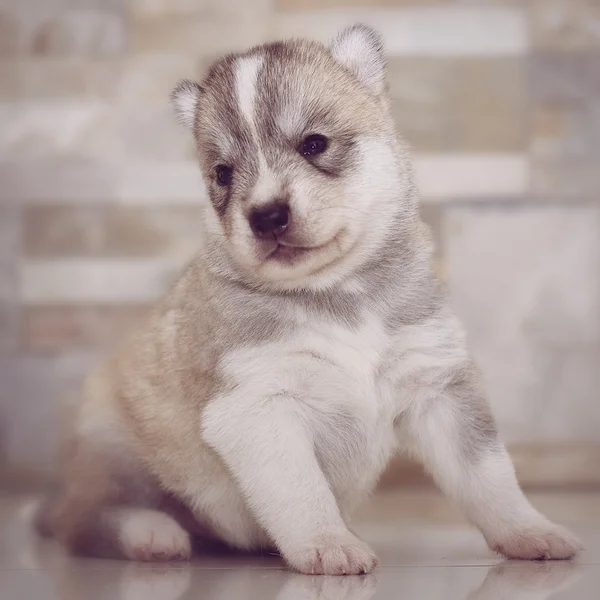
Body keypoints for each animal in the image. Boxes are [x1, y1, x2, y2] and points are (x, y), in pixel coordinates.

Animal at [34, 24, 580, 576]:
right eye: (224, 173)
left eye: (314, 143)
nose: (266, 215)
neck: (338, 294)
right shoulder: (258, 407)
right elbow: (301, 490)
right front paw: (327, 541)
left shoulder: (439, 388)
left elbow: (489, 477)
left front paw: (527, 530)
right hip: (118, 454)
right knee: (87, 520)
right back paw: (151, 533)